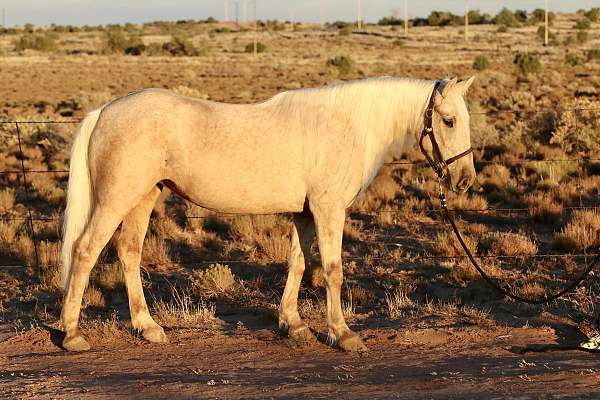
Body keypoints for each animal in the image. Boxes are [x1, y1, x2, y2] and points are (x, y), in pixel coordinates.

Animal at [58, 76, 476, 352]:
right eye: (449, 120)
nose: (464, 179)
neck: (347, 125)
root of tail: (103, 112)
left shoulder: (305, 213)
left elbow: (298, 263)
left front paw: (293, 324)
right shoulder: (328, 210)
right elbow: (333, 270)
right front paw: (343, 334)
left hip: (143, 198)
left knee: (128, 251)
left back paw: (147, 327)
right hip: (116, 199)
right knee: (86, 250)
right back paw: (73, 334)